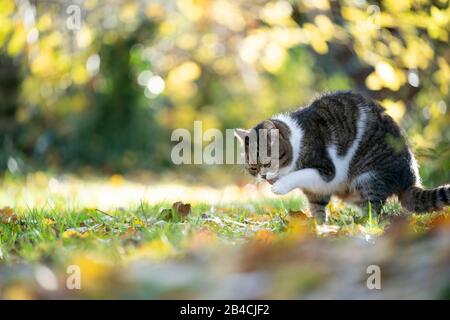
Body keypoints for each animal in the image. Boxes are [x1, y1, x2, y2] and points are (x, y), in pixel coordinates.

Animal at [236, 91, 450, 224]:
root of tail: (410, 179)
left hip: (370, 175)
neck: (297, 139)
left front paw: (280, 186)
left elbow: (301, 174)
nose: (263, 177)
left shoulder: (326, 171)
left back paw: (363, 224)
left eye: (266, 162)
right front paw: (318, 227)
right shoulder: (316, 190)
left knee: (374, 209)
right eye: (253, 168)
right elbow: (317, 208)